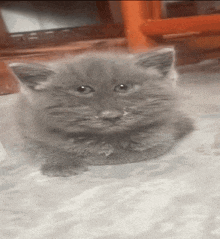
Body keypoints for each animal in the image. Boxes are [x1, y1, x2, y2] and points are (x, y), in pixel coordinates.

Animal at [9, 47, 193, 176]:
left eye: (122, 87)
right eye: (82, 89)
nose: (110, 116)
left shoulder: (164, 133)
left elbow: (147, 147)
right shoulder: (29, 129)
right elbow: (44, 148)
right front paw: (61, 163)